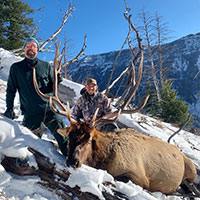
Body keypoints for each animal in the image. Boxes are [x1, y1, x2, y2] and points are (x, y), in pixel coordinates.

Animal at [32, 43, 197, 195]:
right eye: (70, 136)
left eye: (89, 138)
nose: (73, 161)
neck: (105, 158)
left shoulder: (140, 177)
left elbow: (120, 177)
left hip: (192, 171)